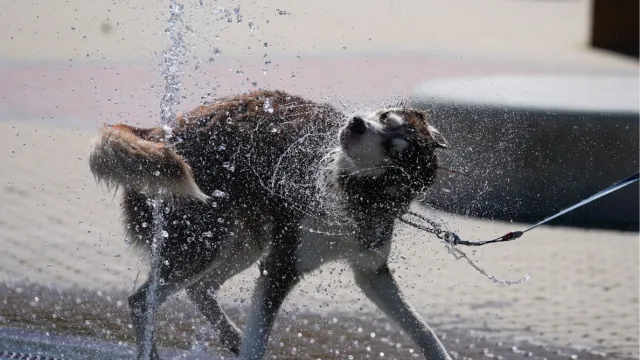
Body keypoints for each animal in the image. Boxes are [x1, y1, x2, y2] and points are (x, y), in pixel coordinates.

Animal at [89, 90, 450, 360]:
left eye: (394, 149)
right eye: (386, 117)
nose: (358, 122)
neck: (346, 192)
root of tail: (160, 132)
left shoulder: (371, 271)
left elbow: (422, 329)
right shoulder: (281, 267)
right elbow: (257, 341)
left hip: (241, 243)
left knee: (199, 288)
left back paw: (229, 334)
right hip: (205, 242)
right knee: (142, 302)